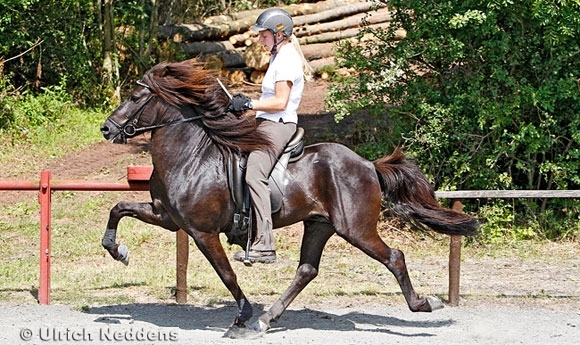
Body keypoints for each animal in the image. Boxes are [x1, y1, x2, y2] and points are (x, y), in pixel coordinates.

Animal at [101, 58, 480, 336]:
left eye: (135, 97)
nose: (107, 128)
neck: (190, 156)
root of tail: (368, 165)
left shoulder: (201, 231)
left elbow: (227, 274)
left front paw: (241, 316)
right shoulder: (166, 216)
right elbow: (119, 208)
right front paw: (117, 250)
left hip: (356, 228)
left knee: (394, 257)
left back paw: (424, 304)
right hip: (319, 225)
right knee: (307, 270)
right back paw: (267, 319)